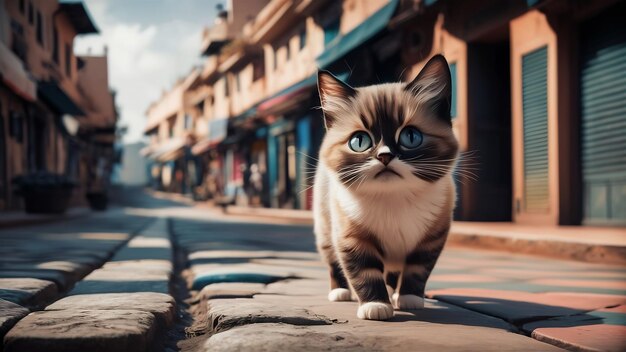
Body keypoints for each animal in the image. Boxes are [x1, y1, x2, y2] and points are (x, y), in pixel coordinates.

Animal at [314, 54, 456, 320]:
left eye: (411, 137)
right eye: (359, 141)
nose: (385, 156)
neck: (394, 197)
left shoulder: (432, 238)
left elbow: (417, 269)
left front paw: (409, 298)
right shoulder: (351, 237)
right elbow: (364, 272)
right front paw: (375, 305)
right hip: (325, 225)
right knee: (332, 261)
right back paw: (340, 291)